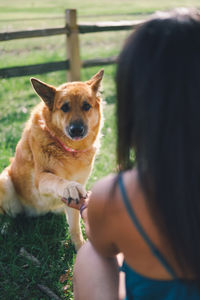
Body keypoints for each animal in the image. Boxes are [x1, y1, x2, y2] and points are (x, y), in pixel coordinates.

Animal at [0, 69, 103, 250]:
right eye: (64, 108)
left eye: (86, 106)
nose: (76, 130)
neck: (69, 149)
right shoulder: (41, 178)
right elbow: (57, 179)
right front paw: (68, 186)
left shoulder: (73, 201)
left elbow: (75, 227)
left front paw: (79, 247)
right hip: (4, 181)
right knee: (10, 215)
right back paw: (7, 228)